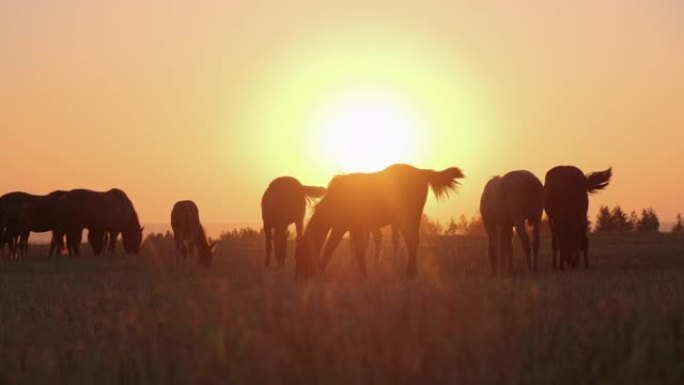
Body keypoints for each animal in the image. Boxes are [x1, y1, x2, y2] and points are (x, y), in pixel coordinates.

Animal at [296, 163, 464, 280]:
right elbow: (350, 249)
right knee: (412, 241)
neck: (335, 199)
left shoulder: (346, 226)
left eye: (301, 253)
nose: (299, 278)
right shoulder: (348, 227)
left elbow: (343, 250)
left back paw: (409, 273)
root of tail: (421, 172)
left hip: (409, 216)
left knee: (412, 241)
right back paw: (411, 272)